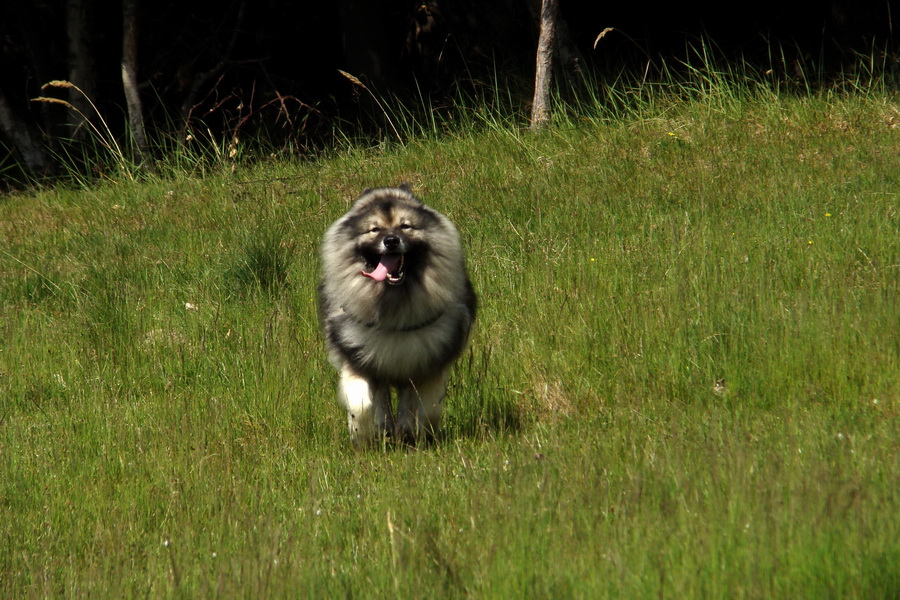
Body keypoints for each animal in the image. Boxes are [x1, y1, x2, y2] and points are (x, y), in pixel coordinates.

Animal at [314, 186, 474, 446]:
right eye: (374, 229)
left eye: (405, 226)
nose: (391, 241)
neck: (394, 303)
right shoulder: (359, 361)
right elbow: (362, 405)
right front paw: (362, 438)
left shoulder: (426, 365)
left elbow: (426, 408)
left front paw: (419, 433)